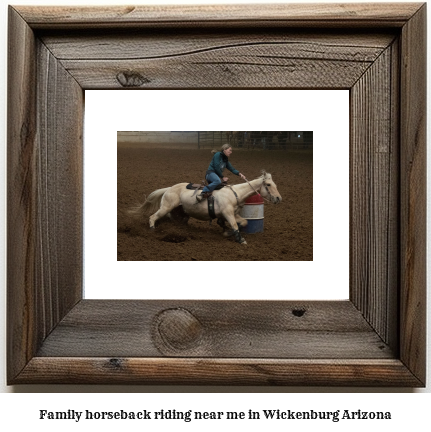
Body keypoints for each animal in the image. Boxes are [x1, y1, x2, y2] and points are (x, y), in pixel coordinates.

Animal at [128, 172, 284, 246]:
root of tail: (169, 188)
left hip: (179, 213)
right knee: (153, 217)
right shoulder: (228, 213)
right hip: (166, 207)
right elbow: (235, 225)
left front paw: (227, 233)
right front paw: (241, 240)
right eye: (268, 184)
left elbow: (243, 222)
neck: (235, 193)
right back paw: (152, 230)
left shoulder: (231, 214)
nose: (278, 198)